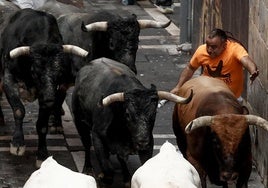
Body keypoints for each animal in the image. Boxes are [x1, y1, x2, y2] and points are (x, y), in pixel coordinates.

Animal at [71, 58, 193, 186]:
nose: (142, 142)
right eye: (128, 115)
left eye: (154, 113)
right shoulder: (97, 136)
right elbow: (108, 169)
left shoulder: (148, 143)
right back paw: (88, 168)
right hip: (79, 122)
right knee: (86, 144)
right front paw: (103, 177)